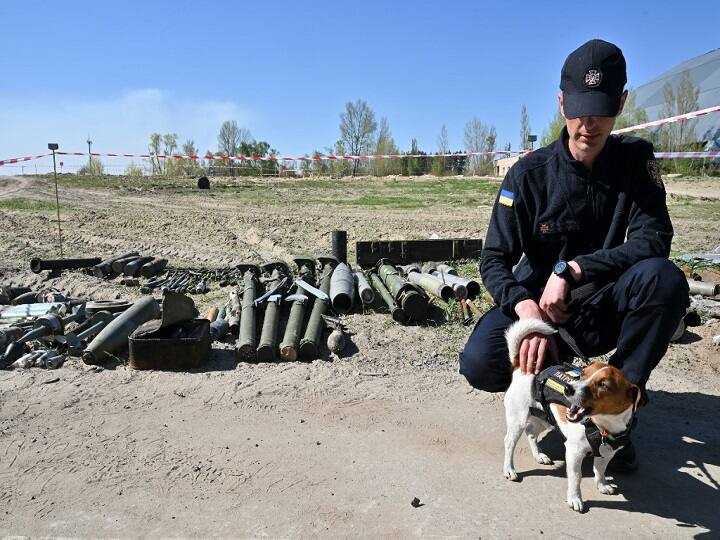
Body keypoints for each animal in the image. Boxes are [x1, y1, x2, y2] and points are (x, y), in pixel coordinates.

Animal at [500, 318, 640, 512]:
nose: (568, 388)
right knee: (509, 443)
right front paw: (575, 498)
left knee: (531, 433)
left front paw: (602, 484)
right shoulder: (574, 452)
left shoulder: (607, 452)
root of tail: (521, 369)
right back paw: (509, 469)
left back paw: (539, 455)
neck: (602, 426)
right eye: (582, 375)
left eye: (603, 385)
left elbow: (600, 470)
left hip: (545, 419)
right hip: (517, 420)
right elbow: (576, 478)